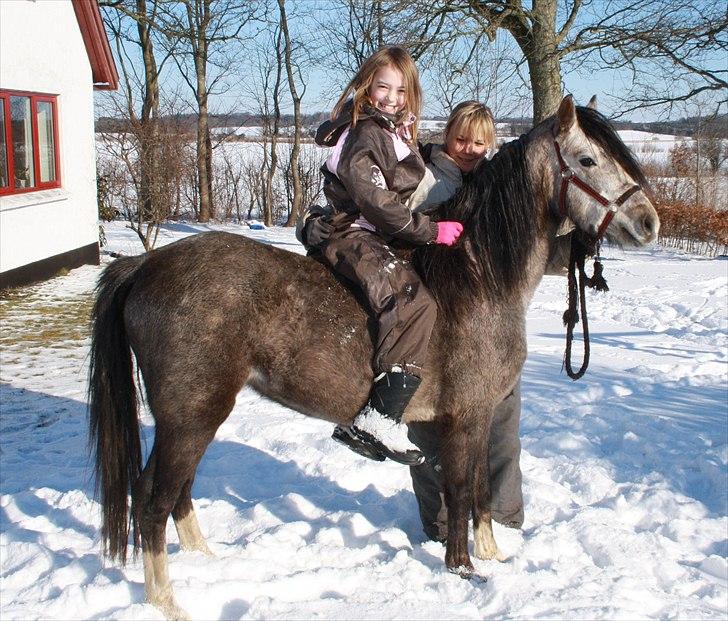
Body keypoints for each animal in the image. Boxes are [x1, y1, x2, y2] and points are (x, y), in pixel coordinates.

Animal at [88, 96, 659, 619]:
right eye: (587, 160)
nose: (648, 222)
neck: (477, 277)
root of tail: (143, 265)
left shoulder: (477, 416)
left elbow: (479, 489)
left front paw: (492, 556)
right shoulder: (464, 418)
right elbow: (460, 488)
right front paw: (463, 569)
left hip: (193, 416)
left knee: (177, 491)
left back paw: (205, 562)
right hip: (191, 414)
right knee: (153, 498)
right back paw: (167, 601)